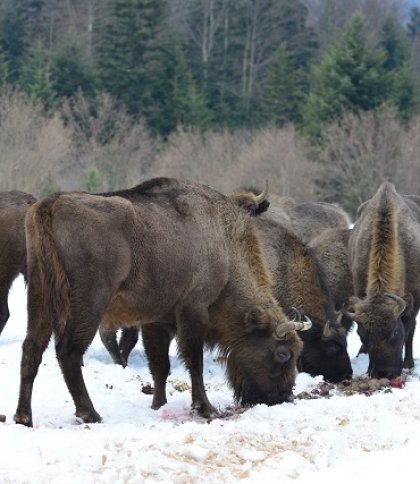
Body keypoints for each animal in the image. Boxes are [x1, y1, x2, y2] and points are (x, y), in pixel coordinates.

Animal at [14, 178, 310, 428]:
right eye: (282, 353)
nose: (283, 397)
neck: (224, 248)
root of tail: (51, 205)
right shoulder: (193, 311)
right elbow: (193, 360)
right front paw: (205, 408)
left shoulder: (157, 321)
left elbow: (160, 365)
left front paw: (158, 404)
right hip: (87, 304)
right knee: (69, 351)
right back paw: (90, 413)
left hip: (40, 297)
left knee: (32, 349)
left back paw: (24, 417)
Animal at [346, 182, 418, 378]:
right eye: (362, 335)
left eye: (394, 332)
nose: (383, 373)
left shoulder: (415, 297)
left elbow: (410, 329)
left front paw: (408, 364)